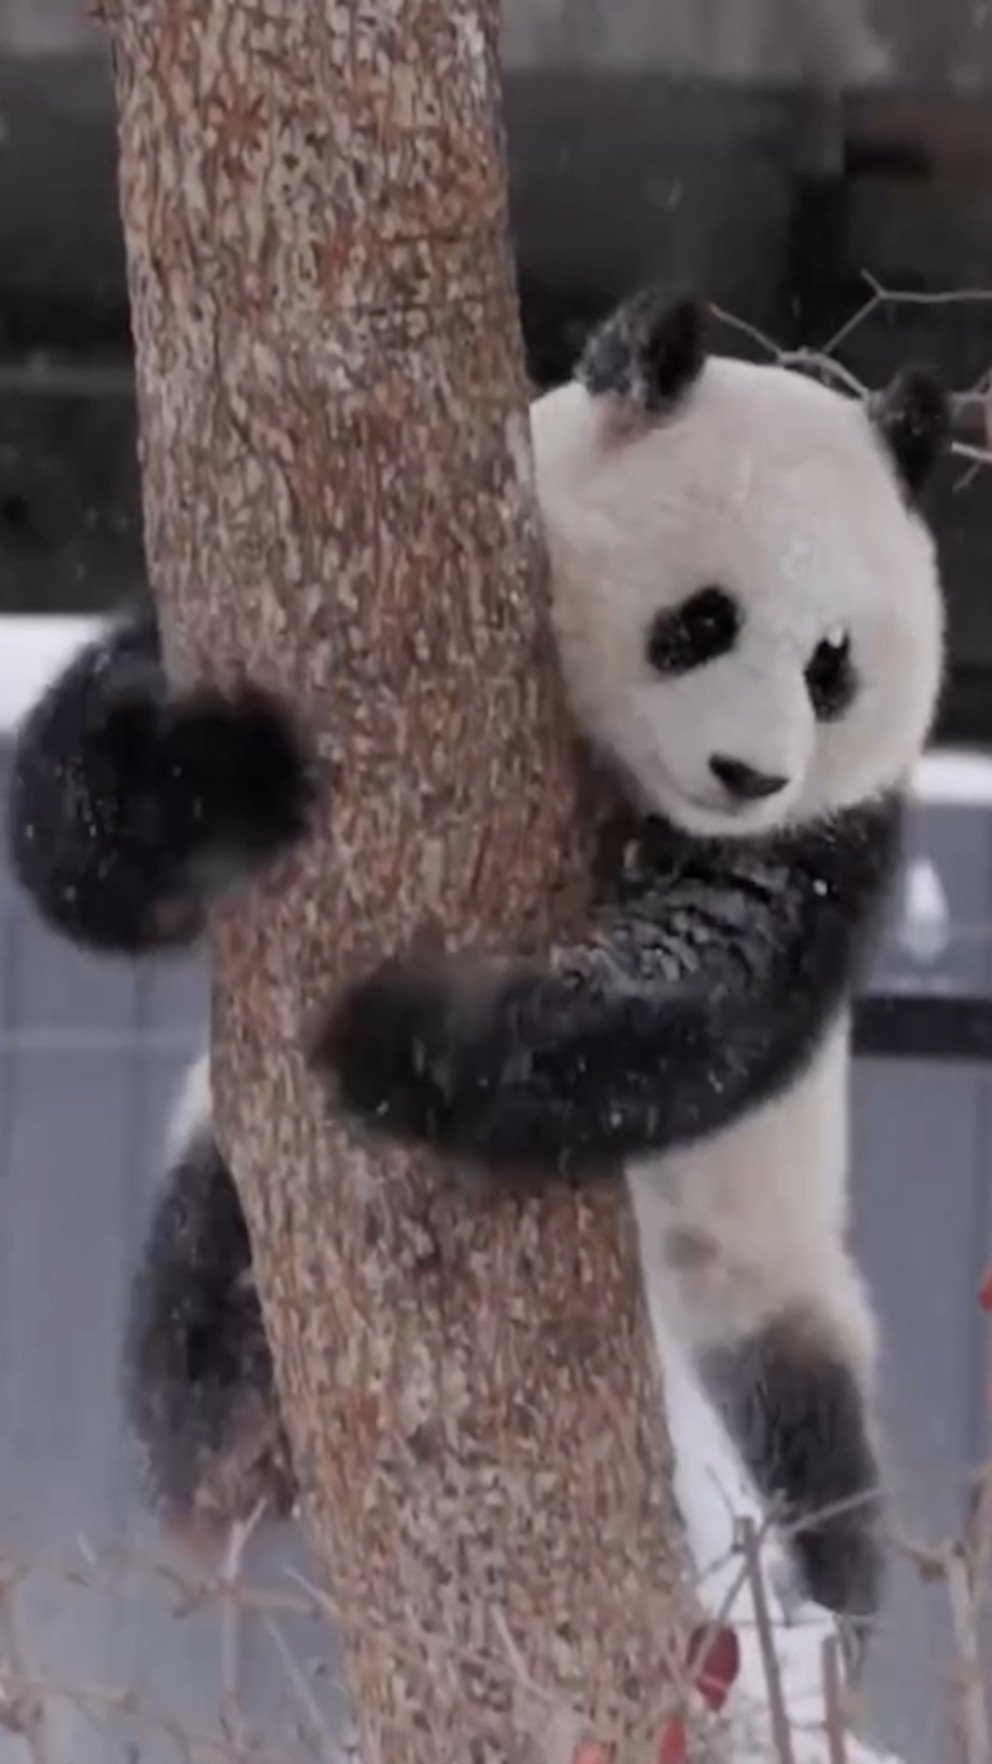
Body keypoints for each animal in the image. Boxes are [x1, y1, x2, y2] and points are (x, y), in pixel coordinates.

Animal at [9, 285, 953, 1615]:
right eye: (700, 621)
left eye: (832, 665)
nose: (750, 774)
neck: (628, 786)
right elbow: (84, 802)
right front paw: (219, 782)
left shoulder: (829, 837)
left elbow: (709, 986)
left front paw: (411, 1039)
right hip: (228, 1188)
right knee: (207, 1281)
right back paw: (229, 1452)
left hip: (766, 1285)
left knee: (815, 1456)